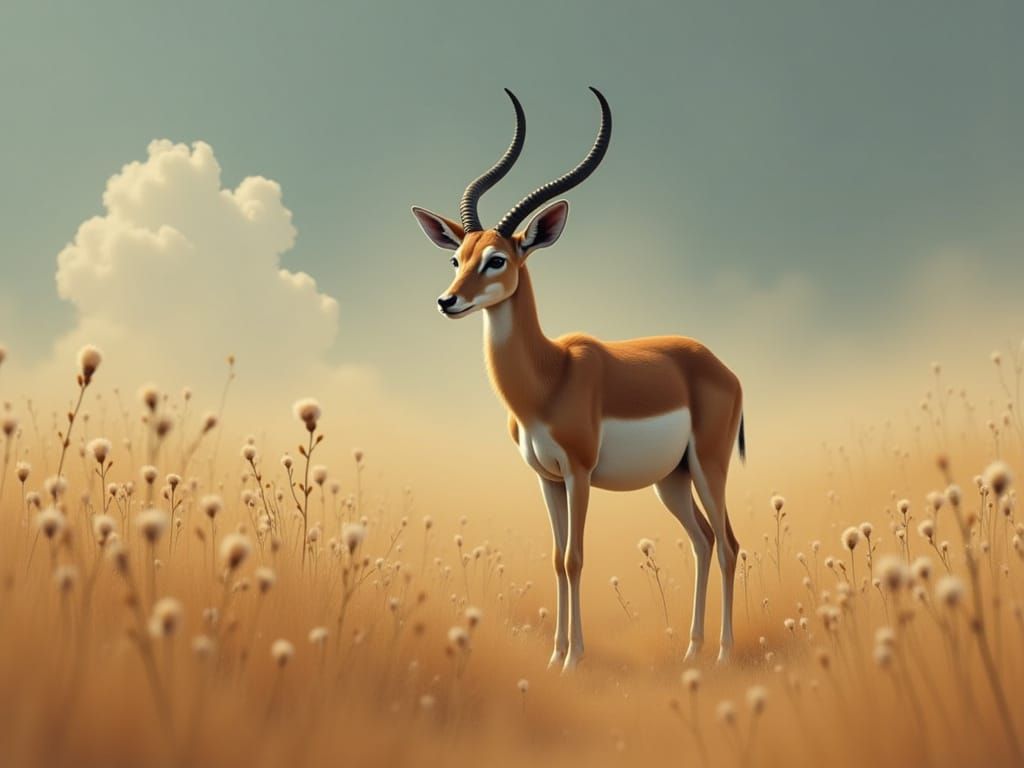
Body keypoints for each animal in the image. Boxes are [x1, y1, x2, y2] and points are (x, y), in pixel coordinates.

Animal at [412, 88, 745, 671]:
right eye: (457, 257)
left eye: (497, 259)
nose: (447, 300)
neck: (548, 378)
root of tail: (720, 366)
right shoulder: (546, 478)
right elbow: (554, 558)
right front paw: (555, 656)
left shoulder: (580, 472)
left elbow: (575, 557)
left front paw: (574, 660)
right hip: (672, 479)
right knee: (704, 540)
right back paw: (691, 650)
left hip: (709, 465)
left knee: (728, 544)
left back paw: (724, 655)